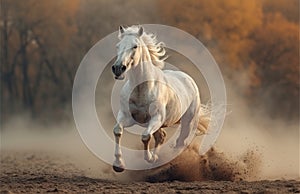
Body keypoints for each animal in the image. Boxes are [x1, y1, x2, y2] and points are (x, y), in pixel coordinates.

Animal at [111, 25, 207, 172]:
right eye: (118, 46)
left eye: (135, 46)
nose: (118, 68)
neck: (141, 88)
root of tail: (189, 80)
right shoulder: (127, 117)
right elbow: (117, 131)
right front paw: (118, 165)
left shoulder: (157, 118)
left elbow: (145, 137)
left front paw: (150, 158)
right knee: (161, 137)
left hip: (188, 123)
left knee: (180, 142)